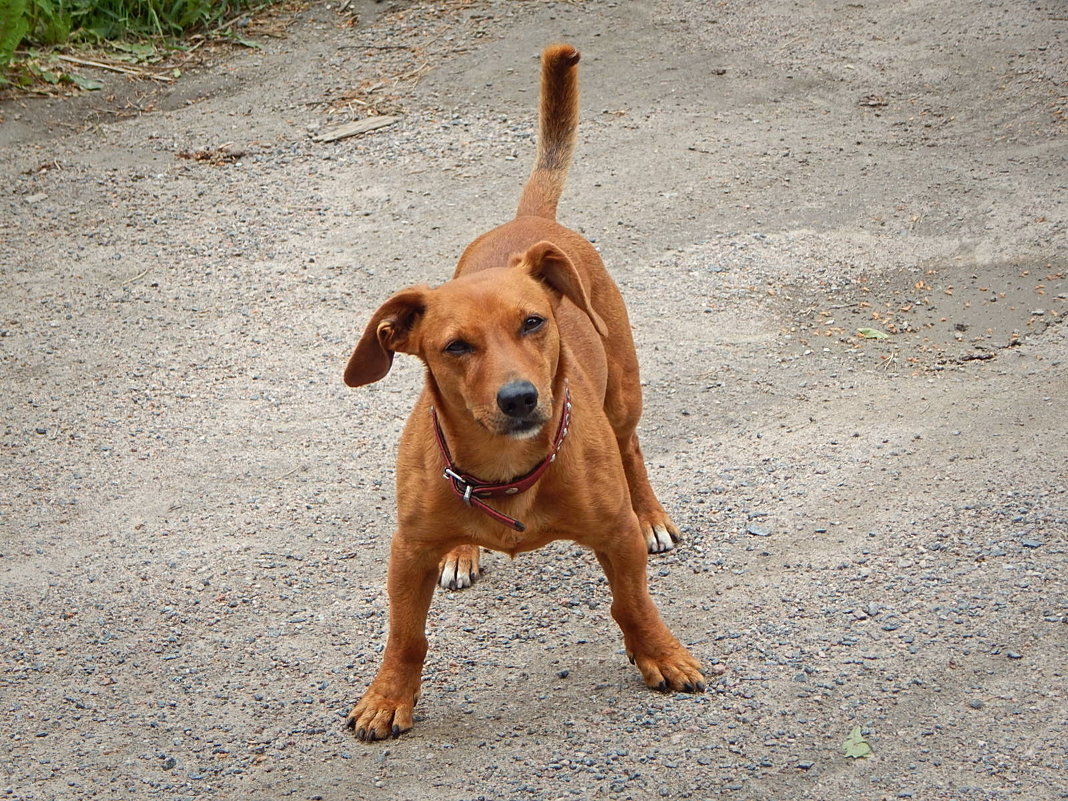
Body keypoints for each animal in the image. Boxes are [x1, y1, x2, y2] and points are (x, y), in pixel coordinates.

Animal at [346, 45, 704, 747]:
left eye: (534, 322)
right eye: (456, 346)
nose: (518, 398)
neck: (503, 470)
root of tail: (529, 222)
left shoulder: (614, 536)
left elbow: (632, 603)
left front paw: (662, 654)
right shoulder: (407, 551)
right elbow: (405, 636)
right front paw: (387, 695)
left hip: (624, 395)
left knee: (633, 450)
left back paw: (653, 513)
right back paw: (463, 550)